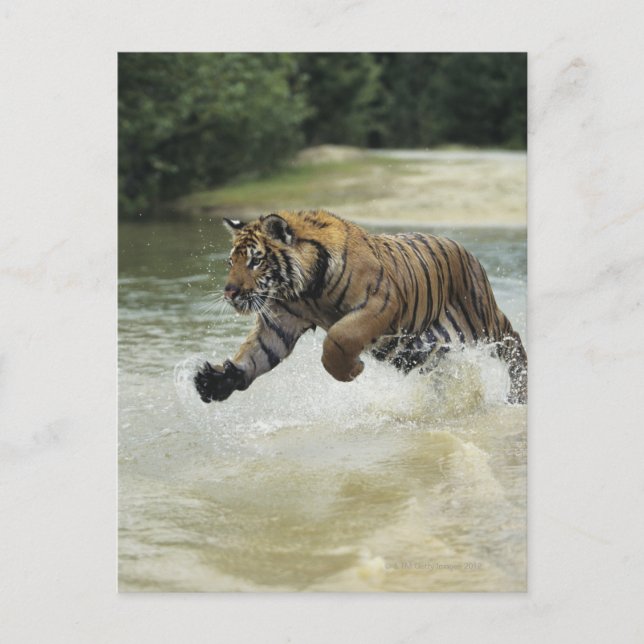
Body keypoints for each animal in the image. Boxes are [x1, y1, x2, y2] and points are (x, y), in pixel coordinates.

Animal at [194, 209, 527, 404]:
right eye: (231, 262)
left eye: (256, 260)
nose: (230, 293)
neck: (305, 291)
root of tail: (467, 251)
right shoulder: (280, 323)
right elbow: (256, 353)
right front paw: (215, 381)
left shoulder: (379, 303)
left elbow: (338, 339)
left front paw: (351, 371)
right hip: (418, 351)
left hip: (480, 320)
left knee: (514, 342)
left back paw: (518, 395)